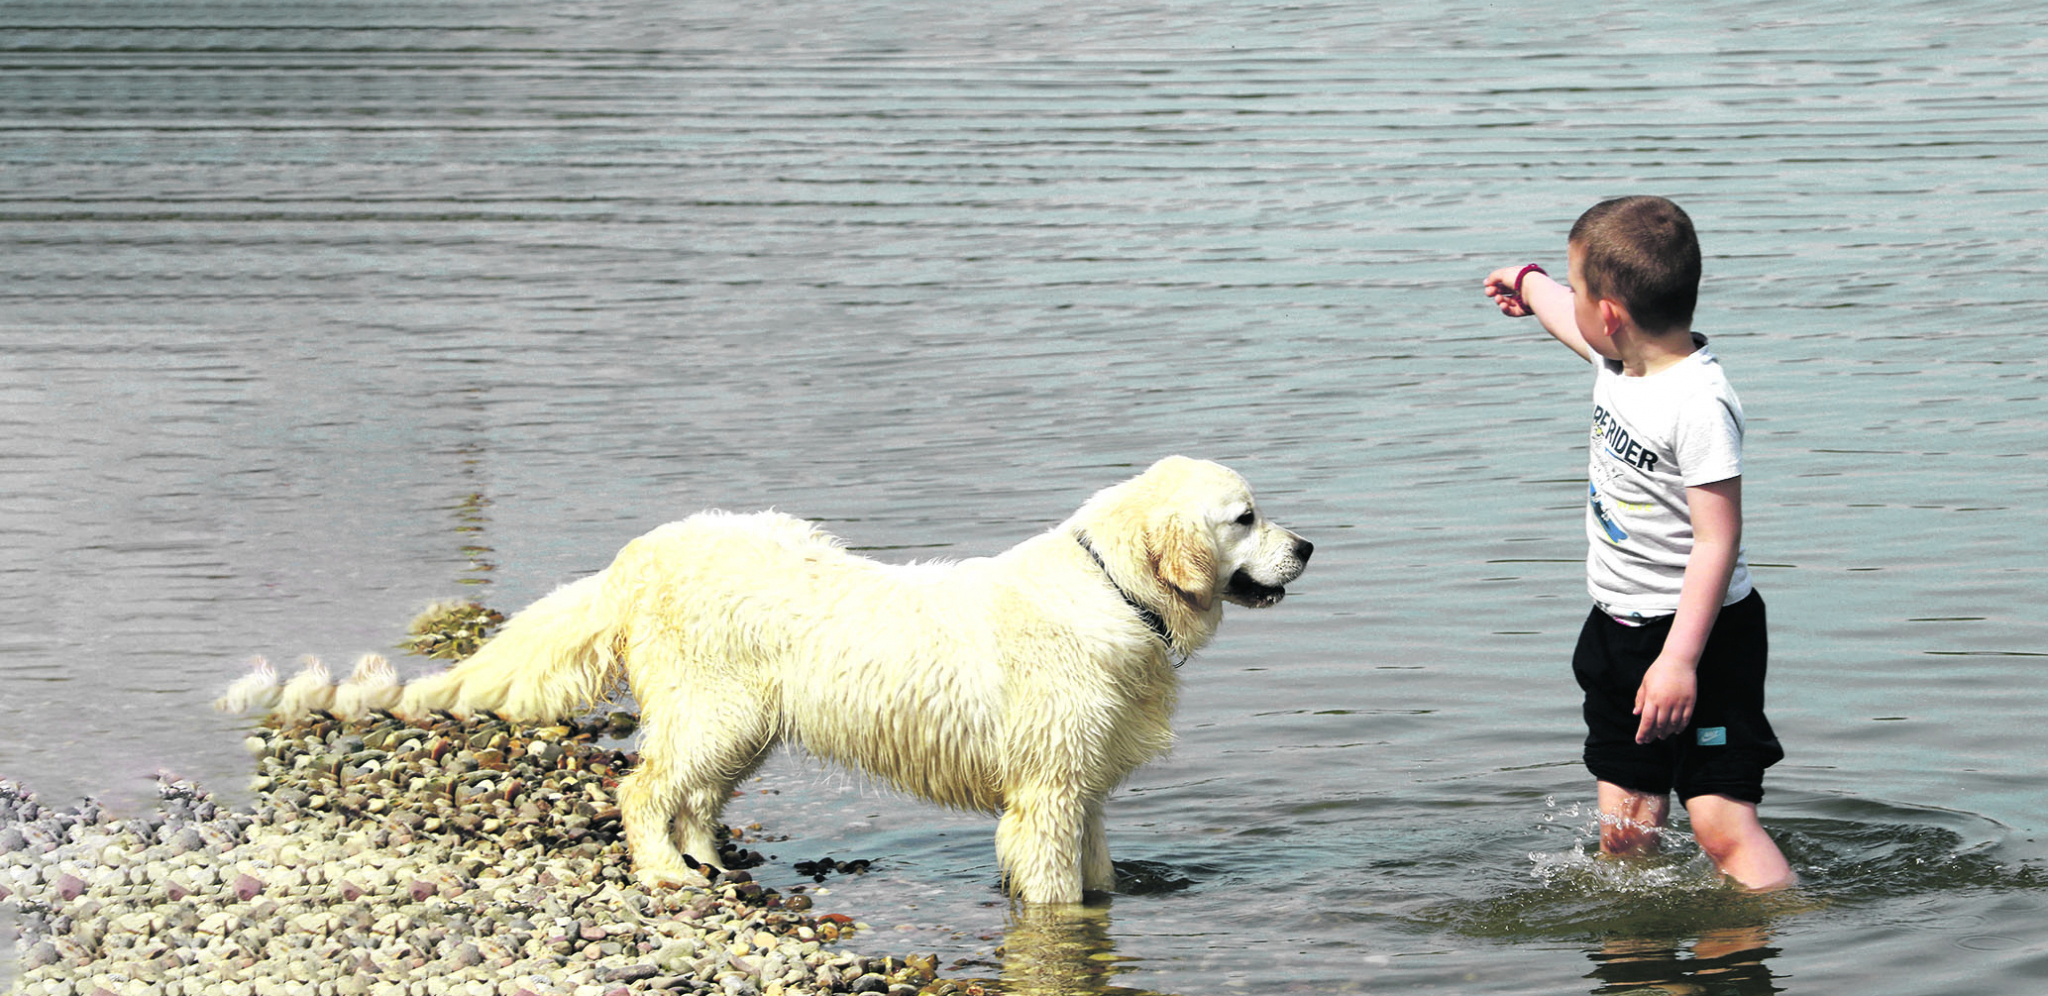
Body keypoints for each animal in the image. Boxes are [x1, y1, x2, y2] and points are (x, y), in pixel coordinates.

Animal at [247, 454, 1302, 905]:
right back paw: (666, 872)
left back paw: (710, 861)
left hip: (744, 722)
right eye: (1244, 517)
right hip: (714, 708)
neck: (1116, 591)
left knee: (693, 795)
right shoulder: (1046, 789)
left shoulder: (1079, 786)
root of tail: (641, 554)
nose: (1309, 548)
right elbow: (1052, 892)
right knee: (644, 789)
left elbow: (1097, 875)